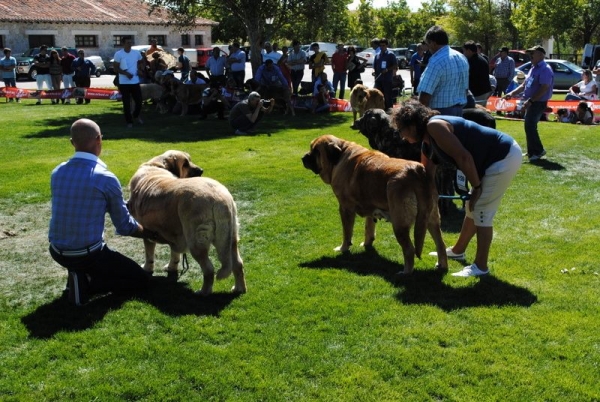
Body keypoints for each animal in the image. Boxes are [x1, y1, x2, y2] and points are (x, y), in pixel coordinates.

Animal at [128, 151, 246, 296]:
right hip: (230, 237)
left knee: (209, 269)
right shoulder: (175, 235)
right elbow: (175, 254)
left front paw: (147, 268)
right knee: (238, 264)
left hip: (196, 241)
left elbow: (149, 255)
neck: (157, 166)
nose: (201, 170)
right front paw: (171, 267)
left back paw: (203, 292)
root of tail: (220, 199)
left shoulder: (148, 234)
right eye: (186, 163)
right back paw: (239, 288)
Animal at [302, 134, 448, 274]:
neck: (340, 156)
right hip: (431, 219)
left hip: (399, 223)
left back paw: (406, 272)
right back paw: (442, 266)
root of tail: (417, 172)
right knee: (440, 244)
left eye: (316, 151)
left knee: (409, 249)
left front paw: (343, 248)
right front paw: (367, 244)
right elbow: (369, 227)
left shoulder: (345, 208)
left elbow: (347, 232)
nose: (303, 158)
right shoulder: (370, 207)